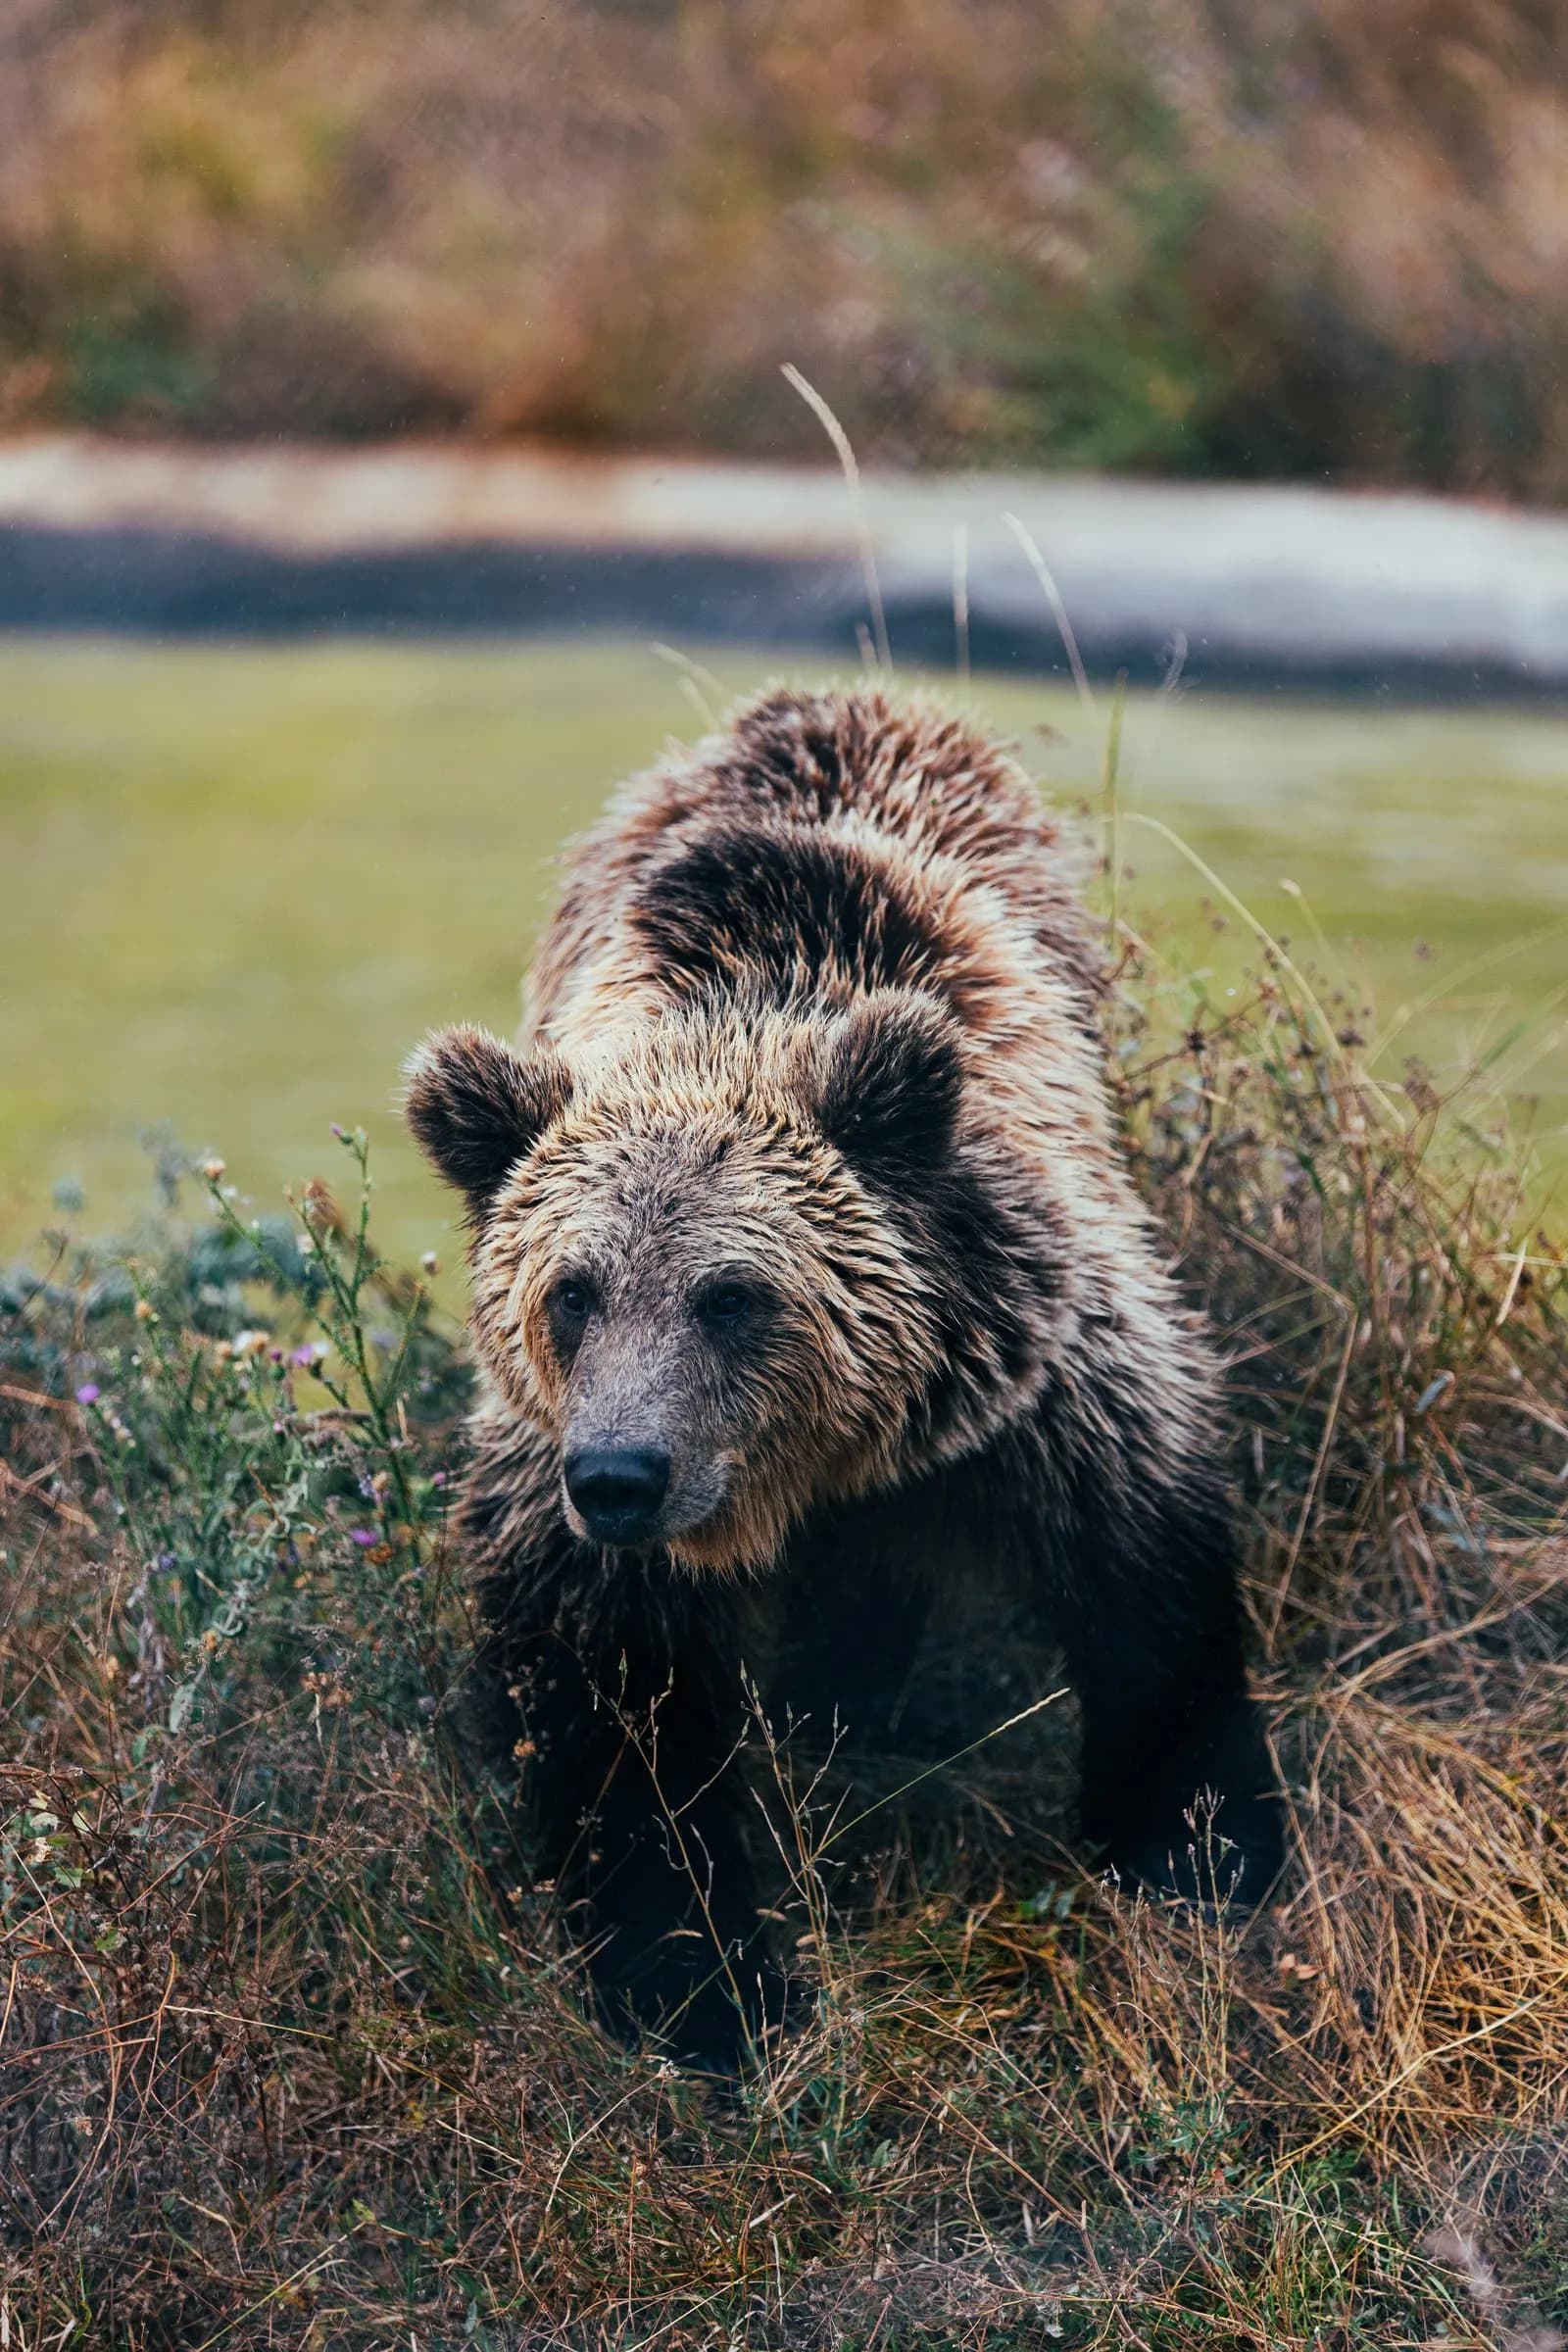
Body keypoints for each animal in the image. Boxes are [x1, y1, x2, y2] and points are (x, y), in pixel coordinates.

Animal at [405, 683, 1282, 2070]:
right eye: (571, 1292)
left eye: (730, 1295)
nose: (619, 1476)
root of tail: (847, 696)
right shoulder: (567, 1510)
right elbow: (621, 1724)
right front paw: (699, 1989)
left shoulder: (1037, 1383)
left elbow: (1144, 1583)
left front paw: (1200, 1848)